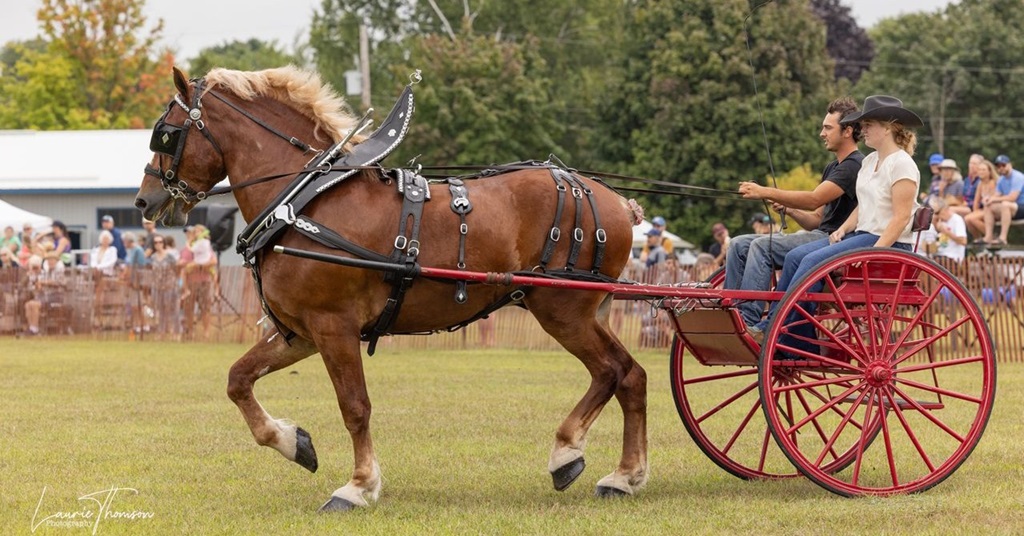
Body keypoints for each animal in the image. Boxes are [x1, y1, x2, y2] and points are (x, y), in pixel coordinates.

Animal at [134, 66, 648, 512]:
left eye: (167, 132)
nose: (144, 200)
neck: (302, 202)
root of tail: (614, 200)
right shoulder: (300, 333)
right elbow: (239, 379)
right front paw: (293, 442)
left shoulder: (334, 327)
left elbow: (354, 407)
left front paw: (359, 486)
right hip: (588, 313)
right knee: (632, 375)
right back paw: (625, 476)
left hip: (564, 311)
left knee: (609, 372)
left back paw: (567, 453)